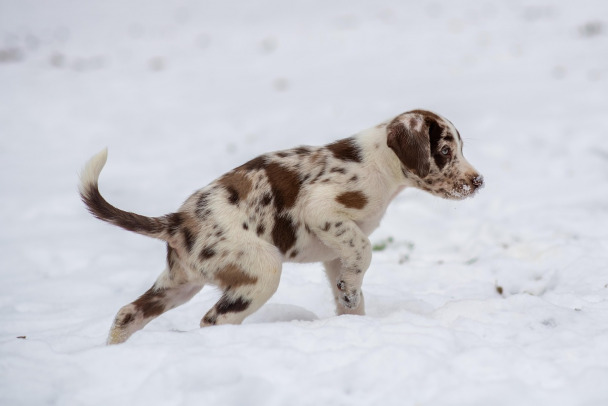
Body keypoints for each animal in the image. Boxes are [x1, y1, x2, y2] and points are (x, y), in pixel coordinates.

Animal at [78, 109, 482, 344]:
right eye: (445, 151)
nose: (478, 182)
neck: (380, 163)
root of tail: (177, 221)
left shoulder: (335, 253)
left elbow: (350, 286)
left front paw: (352, 312)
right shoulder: (323, 211)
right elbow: (365, 253)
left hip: (180, 284)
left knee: (128, 313)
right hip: (262, 271)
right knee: (212, 321)